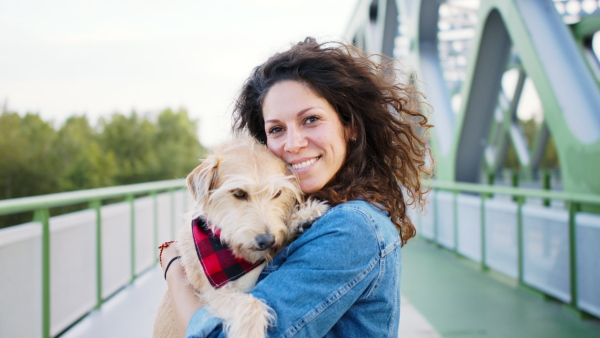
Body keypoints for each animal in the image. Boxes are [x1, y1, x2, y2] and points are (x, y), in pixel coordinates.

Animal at [154, 133, 328, 338]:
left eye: (277, 193)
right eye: (238, 193)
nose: (266, 241)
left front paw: (303, 217)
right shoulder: (213, 291)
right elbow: (249, 303)